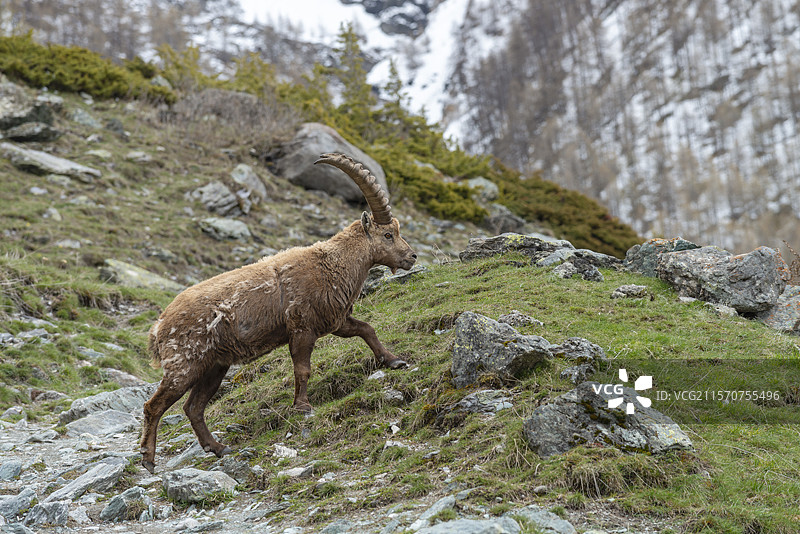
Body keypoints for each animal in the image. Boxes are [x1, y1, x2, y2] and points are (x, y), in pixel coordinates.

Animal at [140, 153, 416, 473]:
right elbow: (303, 369)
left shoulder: (335, 321)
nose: (412, 257)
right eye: (388, 234)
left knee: (193, 407)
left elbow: (366, 328)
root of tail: (158, 327)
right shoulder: (302, 328)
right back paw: (148, 459)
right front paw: (303, 407)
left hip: (214, 366)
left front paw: (394, 360)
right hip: (183, 365)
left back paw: (218, 448)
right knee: (154, 406)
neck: (333, 264)